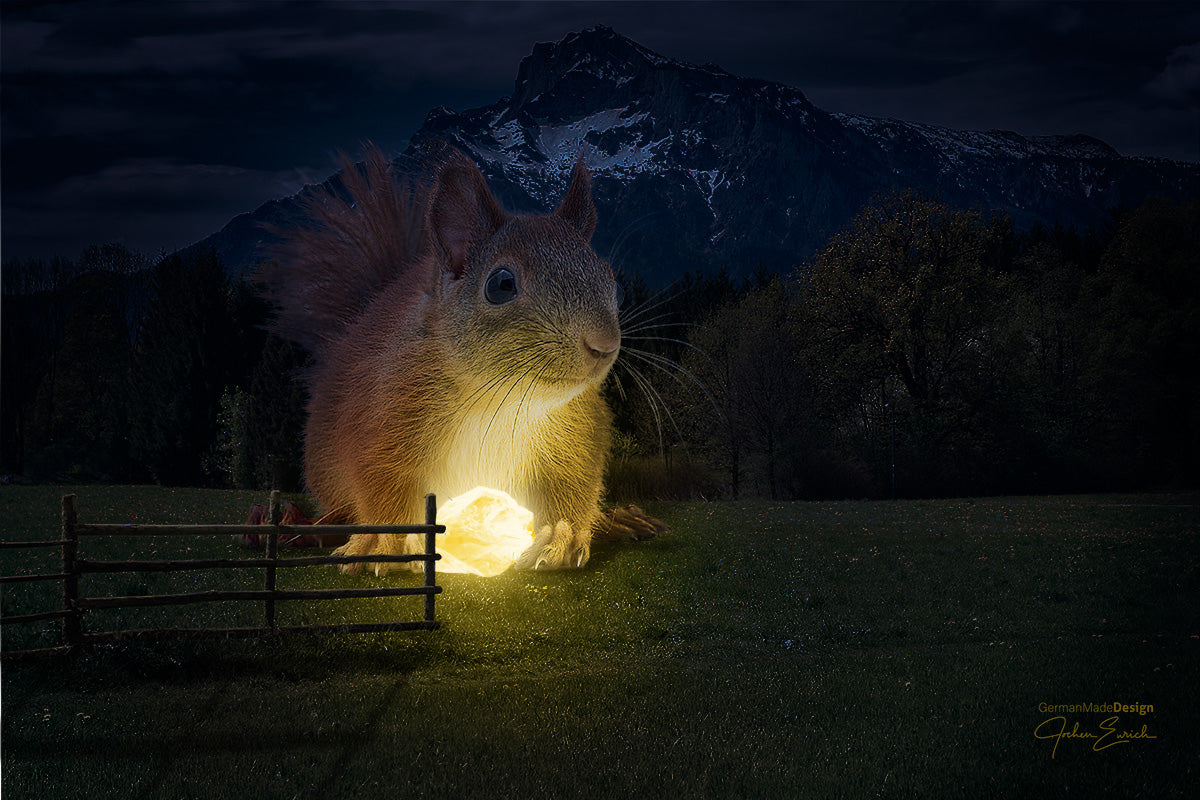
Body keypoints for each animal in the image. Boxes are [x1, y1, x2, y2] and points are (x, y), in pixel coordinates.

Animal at [258, 144, 666, 574]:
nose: (605, 345)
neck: (502, 398)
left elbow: (572, 482)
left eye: (610, 279)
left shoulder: (578, 427)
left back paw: (617, 519)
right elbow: (381, 482)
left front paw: (560, 534)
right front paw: (384, 541)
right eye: (501, 284)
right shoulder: (380, 414)